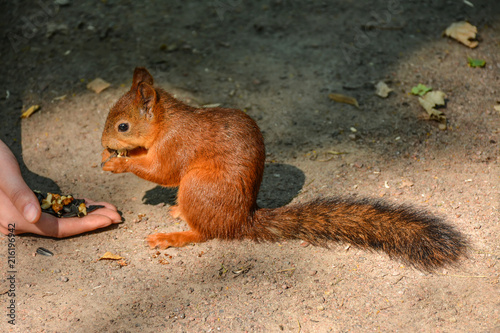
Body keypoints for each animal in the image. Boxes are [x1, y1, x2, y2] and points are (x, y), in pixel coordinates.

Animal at [101, 67, 468, 270]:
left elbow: (161, 171)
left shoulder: (175, 145)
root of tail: (242, 219)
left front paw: (118, 162)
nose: (104, 141)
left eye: (122, 126)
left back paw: (172, 236)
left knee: (205, 233)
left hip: (197, 187)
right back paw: (178, 213)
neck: (166, 122)